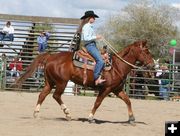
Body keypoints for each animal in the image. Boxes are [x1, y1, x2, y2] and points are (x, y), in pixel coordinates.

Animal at [16, 40, 154, 123]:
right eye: (146, 51)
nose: (153, 65)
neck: (117, 66)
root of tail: (51, 56)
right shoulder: (106, 89)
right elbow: (97, 102)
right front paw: (90, 117)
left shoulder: (117, 89)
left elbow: (128, 101)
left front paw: (132, 118)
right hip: (61, 82)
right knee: (56, 96)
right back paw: (67, 114)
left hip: (49, 82)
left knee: (42, 95)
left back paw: (36, 113)